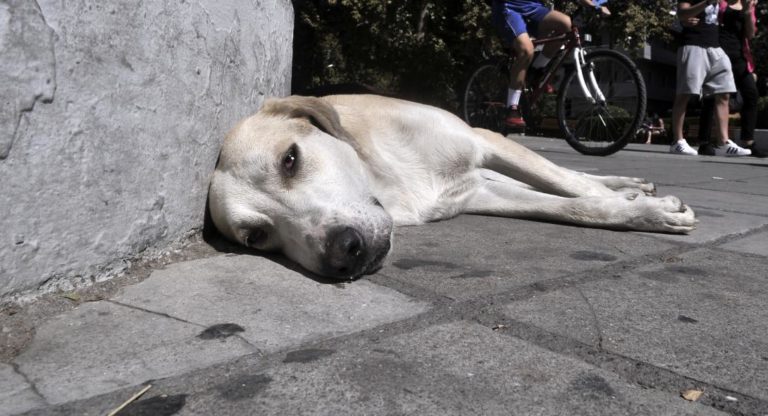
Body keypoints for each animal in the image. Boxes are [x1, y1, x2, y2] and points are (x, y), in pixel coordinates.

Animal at [208, 95, 696, 280]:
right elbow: (570, 205)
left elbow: (569, 184)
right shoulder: (481, 194)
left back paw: (629, 183)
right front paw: (635, 209)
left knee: (569, 174)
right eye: (256, 237)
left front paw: (647, 208)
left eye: (289, 160)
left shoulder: (485, 139)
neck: (388, 181)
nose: (344, 253)